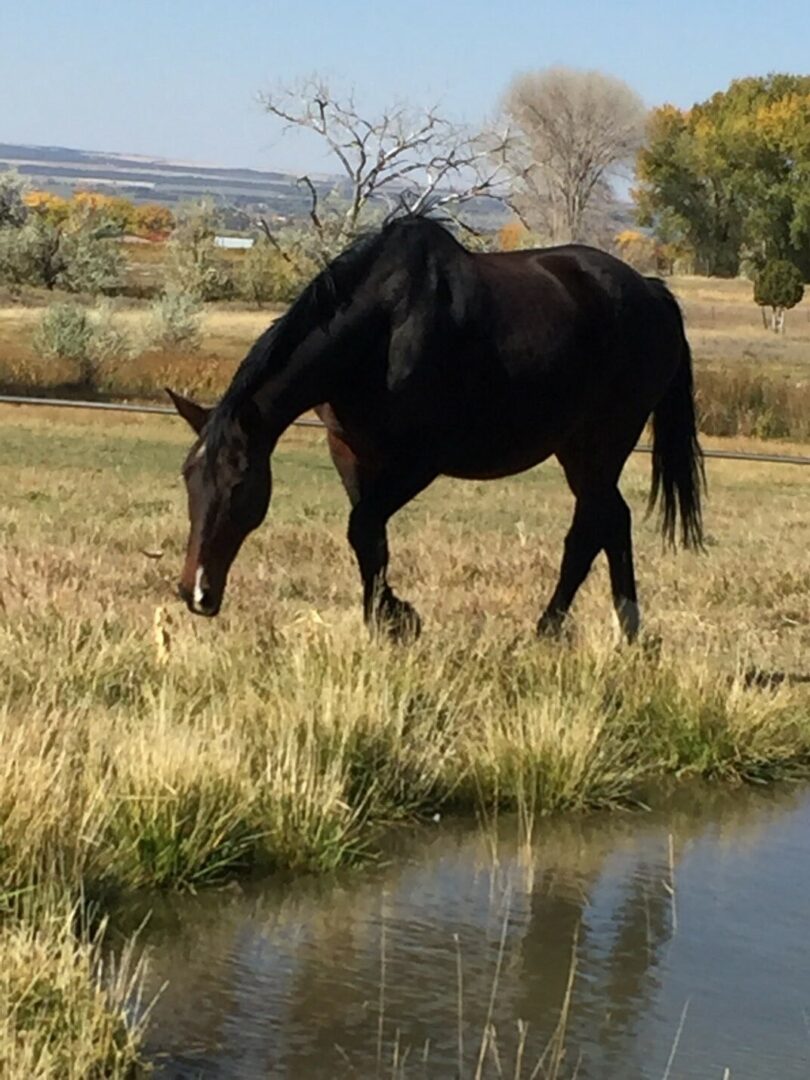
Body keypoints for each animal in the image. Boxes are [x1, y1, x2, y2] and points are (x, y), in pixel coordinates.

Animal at [169, 217, 704, 639]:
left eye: (239, 484)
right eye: (188, 479)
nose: (196, 592)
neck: (385, 327)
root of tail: (652, 292)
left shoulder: (419, 462)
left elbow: (364, 526)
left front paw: (397, 619)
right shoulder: (349, 451)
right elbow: (370, 537)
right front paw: (386, 617)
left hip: (602, 444)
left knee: (591, 528)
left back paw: (551, 629)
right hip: (578, 449)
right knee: (611, 521)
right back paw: (625, 630)